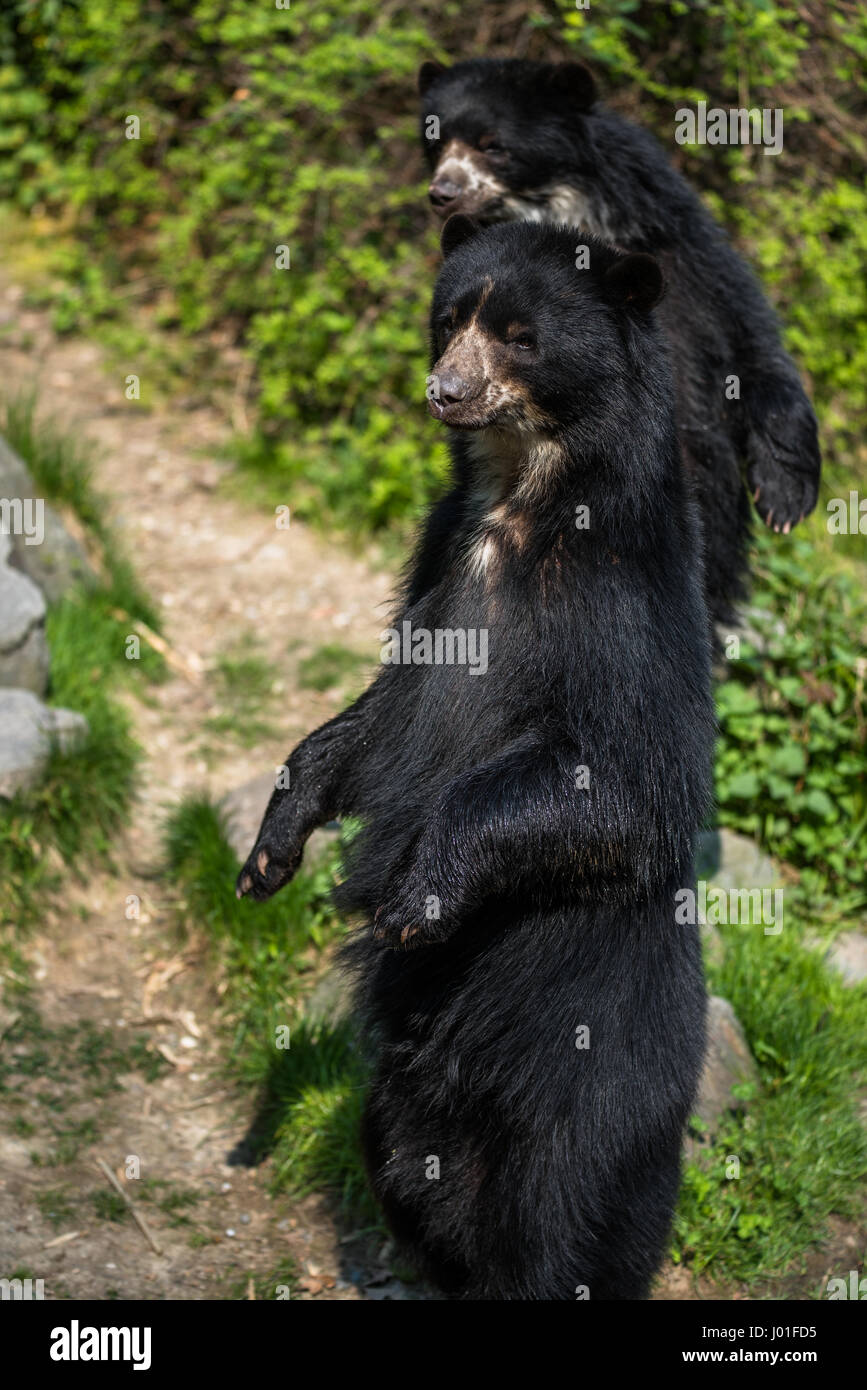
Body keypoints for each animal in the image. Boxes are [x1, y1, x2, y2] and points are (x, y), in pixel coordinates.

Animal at [234, 219, 711, 1301]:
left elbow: (622, 787)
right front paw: (268, 851)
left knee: (559, 1225)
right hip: (406, 1100)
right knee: (407, 1167)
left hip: (589, 1087)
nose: (444, 389)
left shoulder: (621, 612)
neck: (522, 497)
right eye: (451, 317)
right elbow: (377, 720)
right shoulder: (439, 563)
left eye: (521, 336)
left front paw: (416, 897)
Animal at [419, 56, 816, 633]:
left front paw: (785, 498)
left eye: (493, 145)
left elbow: (746, 336)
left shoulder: (683, 255)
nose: (443, 192)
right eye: (436, 141)